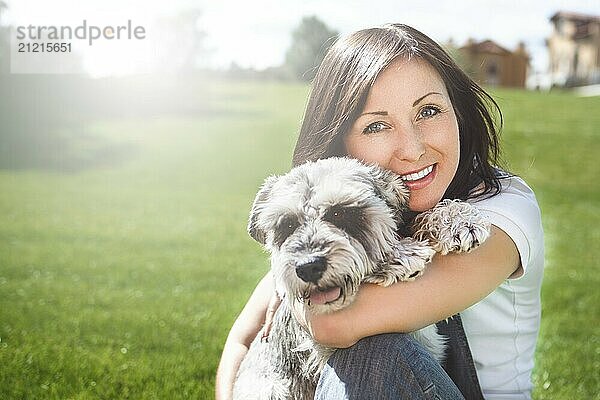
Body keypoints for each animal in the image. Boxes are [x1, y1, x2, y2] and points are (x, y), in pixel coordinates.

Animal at [232, 156, 490, 400]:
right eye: (286, 224)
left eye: (339, 212)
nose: (308, 267)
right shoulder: (319, 348)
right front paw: (397, 257)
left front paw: (457, 221)